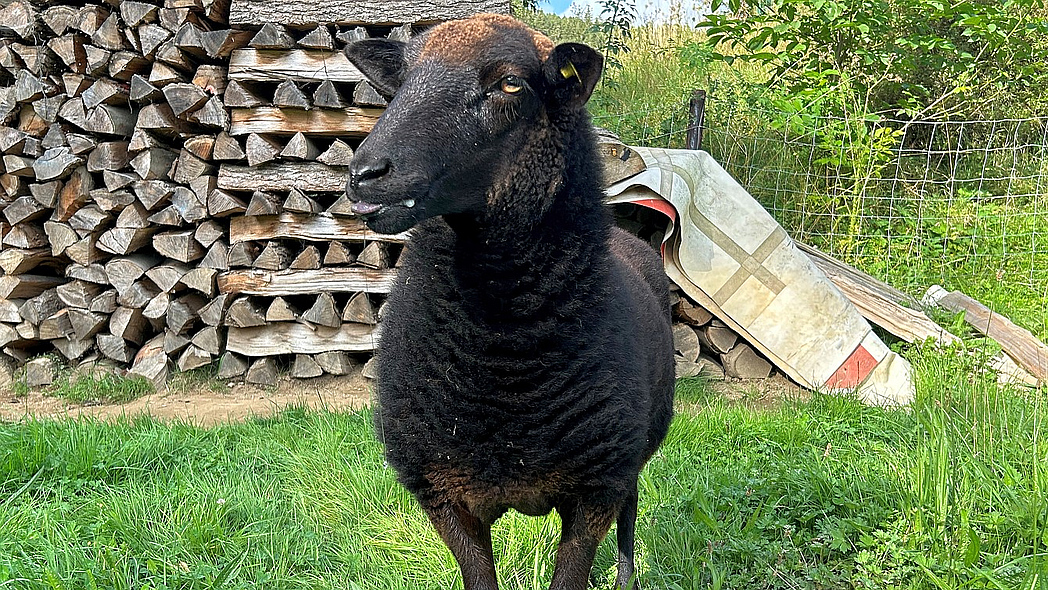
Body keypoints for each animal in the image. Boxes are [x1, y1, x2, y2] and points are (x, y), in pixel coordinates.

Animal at [343, 14, 675, 590]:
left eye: (511, 84)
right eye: (401, 81)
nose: (365, 173)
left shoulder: (594, 490)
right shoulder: (444, 494)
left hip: (630, 453)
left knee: (631, 510)